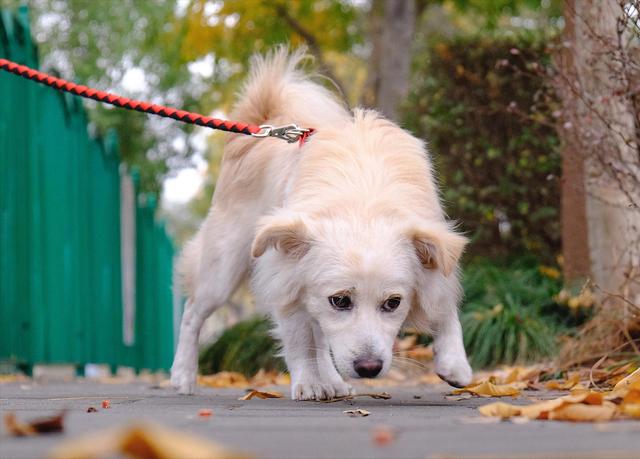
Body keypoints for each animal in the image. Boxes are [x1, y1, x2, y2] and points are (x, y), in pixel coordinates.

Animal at [172, 45, 472, 398]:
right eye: (340, 300)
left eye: (393, 303)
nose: (368, 369)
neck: (362, 202)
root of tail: (265, 118)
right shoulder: (285, 276)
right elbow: (300, 340)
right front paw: (308, 383)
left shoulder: (437, 254)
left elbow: (444, 304)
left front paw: (455, 363)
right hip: (223, 267)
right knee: (193, 313)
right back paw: (183, 376)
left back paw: (333, 381)